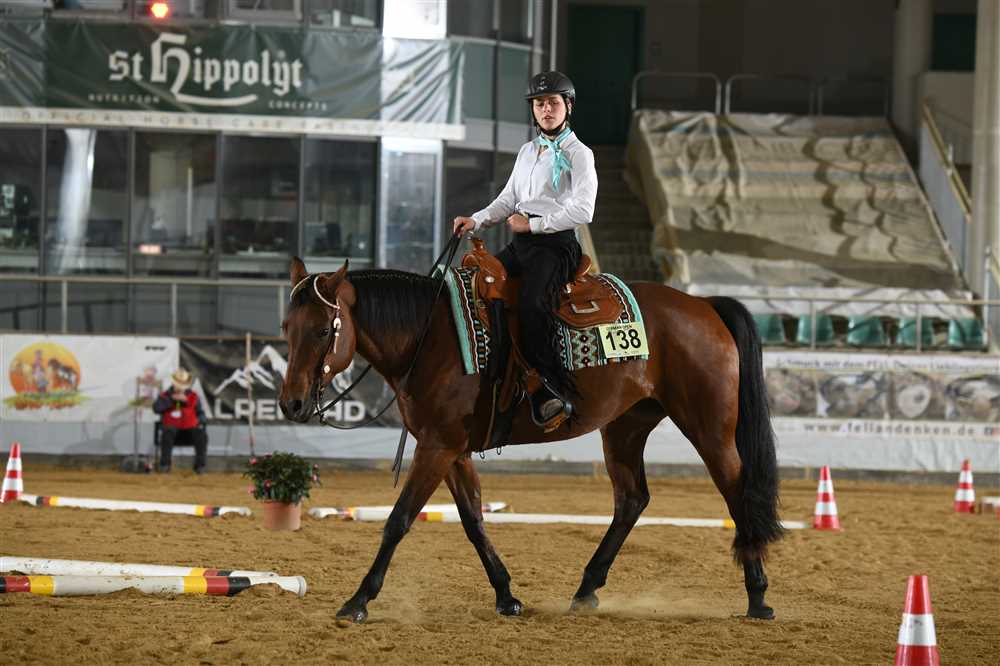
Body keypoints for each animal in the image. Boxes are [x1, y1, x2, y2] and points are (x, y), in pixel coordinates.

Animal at [279, 257, 783, 623]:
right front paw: (506, 596)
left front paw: (358, 600)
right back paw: (586, 590)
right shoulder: (451, 450)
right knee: (632, 500)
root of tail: (704, 305)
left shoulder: (437, 448)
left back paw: (758, 597)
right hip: (625, 427)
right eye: (287, 329)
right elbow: (473, 520)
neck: (429, 338)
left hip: (709, 427)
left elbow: (398, 520)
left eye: (323, 330)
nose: (292, 404)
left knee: (738, 492)